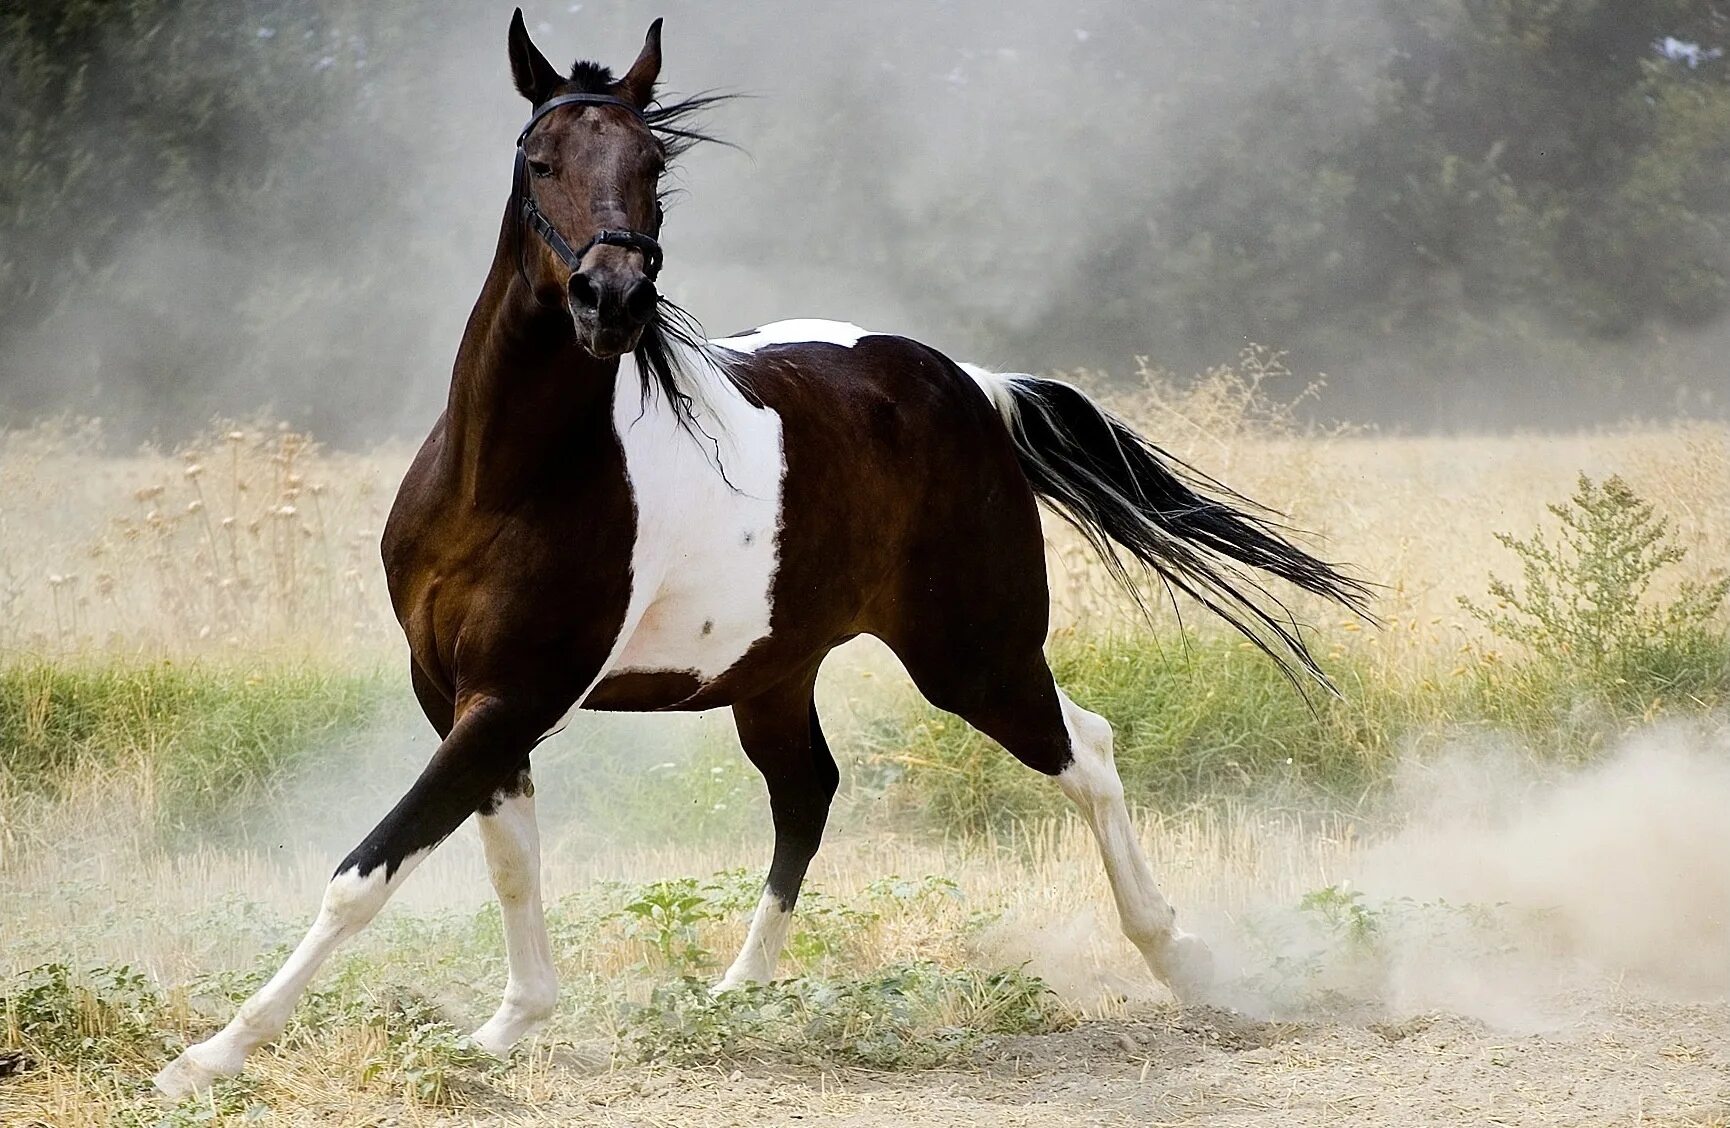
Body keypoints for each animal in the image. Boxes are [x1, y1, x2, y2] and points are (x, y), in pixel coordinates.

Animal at [152, 13, 1363, 1100]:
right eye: (539, 160)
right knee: (808, 791)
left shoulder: (513, 695)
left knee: (1088, 751)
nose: (611, 299)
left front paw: (210, 1056)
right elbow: (504, 856)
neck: (505, 479)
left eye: (652, 164)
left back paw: (1183, 959)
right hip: (775, 672)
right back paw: (736, 994)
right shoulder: (459, 693)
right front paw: (507, 1029)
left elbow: (367, 871)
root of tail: (970, 385)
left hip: (972, 658)